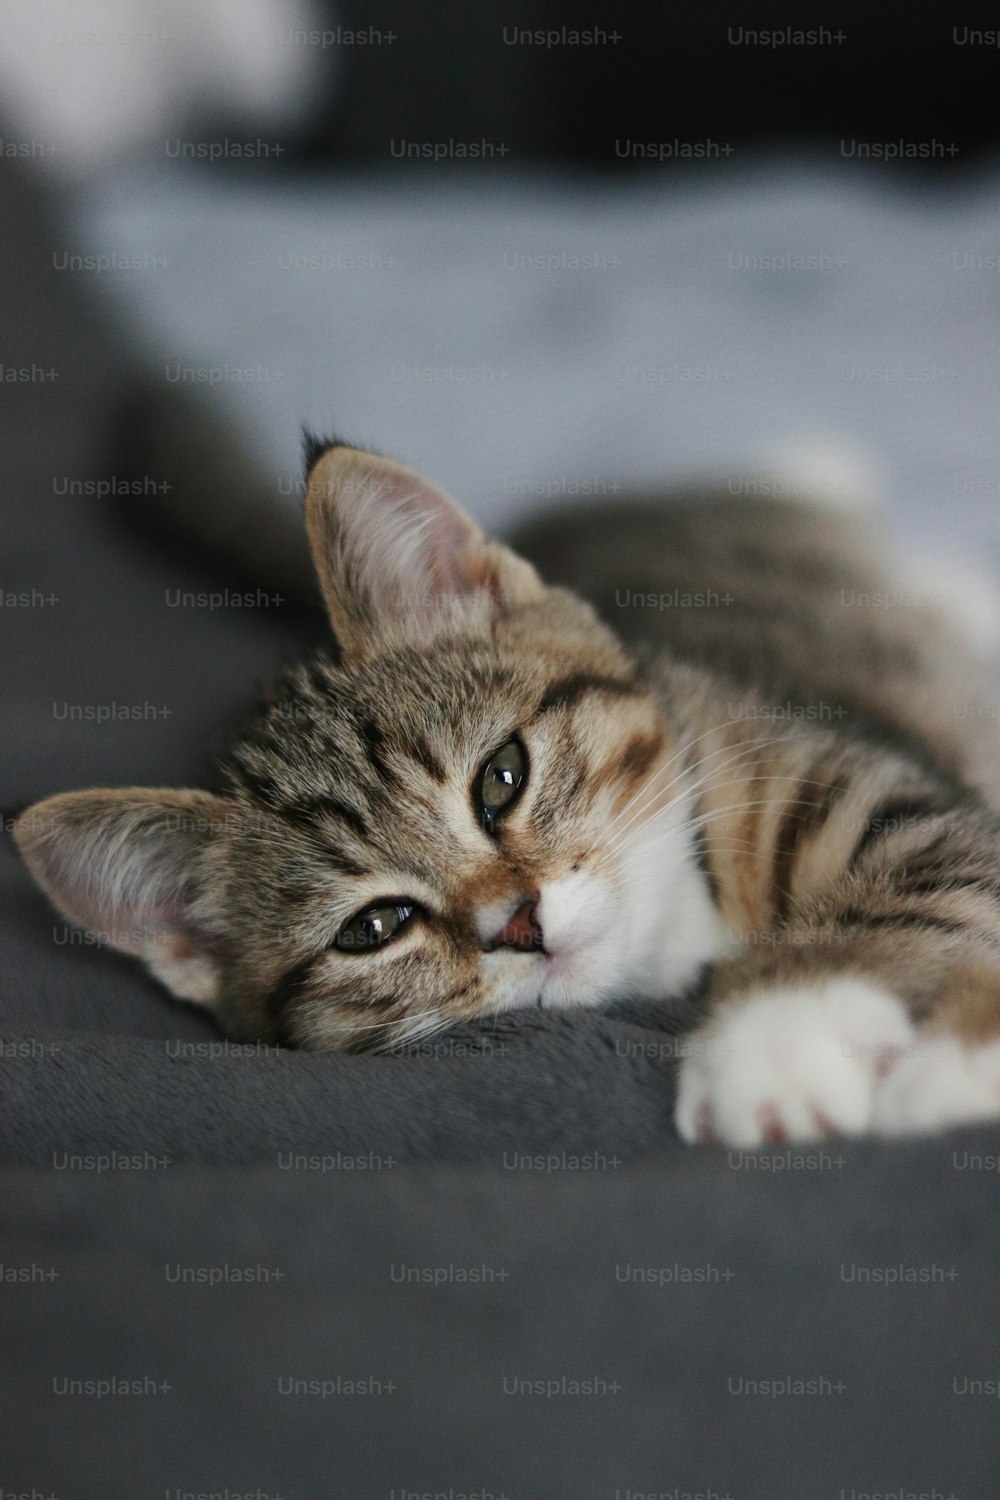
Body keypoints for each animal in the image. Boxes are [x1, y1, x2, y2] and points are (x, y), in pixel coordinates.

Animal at [15, 438, 1000, 1140]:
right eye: (374, 928)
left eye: (501, 779)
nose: (517, 923)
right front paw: (801, 1053)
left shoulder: (883, 795)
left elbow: (908, 893)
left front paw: (786, 1042)